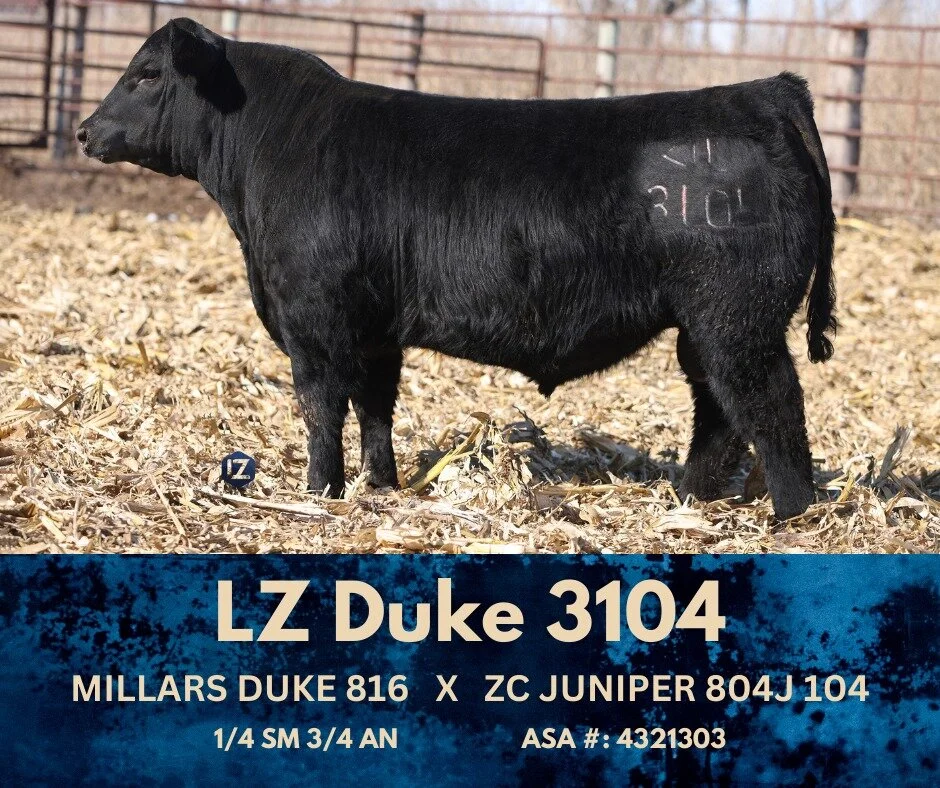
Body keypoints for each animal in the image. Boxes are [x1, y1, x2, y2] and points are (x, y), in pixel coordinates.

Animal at [78, 18, 836, 520]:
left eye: (146, 74)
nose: (85, 130)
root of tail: (765, 91)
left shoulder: (315, 321)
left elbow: (321, 407)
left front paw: (318, 493)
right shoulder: (374, 330)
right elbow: (375, 405)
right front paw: (381, 484)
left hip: (736, 317)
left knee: (769, 401)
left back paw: (792, 514)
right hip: (705, 325)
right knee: (719, 407)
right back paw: (690, 498)